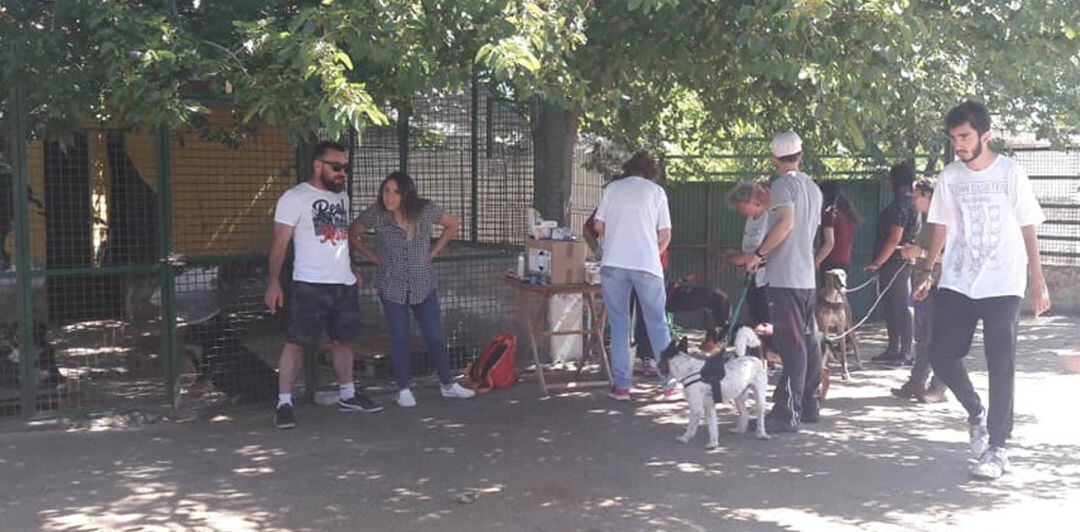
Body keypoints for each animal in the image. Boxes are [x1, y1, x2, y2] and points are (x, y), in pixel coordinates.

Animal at [812, 267, 864, 397]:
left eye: (843, 274)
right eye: (835, 276)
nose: (843, 285)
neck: (833, 298)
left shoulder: (841, 328)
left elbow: (844, 356)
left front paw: (845, 373)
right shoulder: (823, 326)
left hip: (849, 326)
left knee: (854, 343)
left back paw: (859, 363)